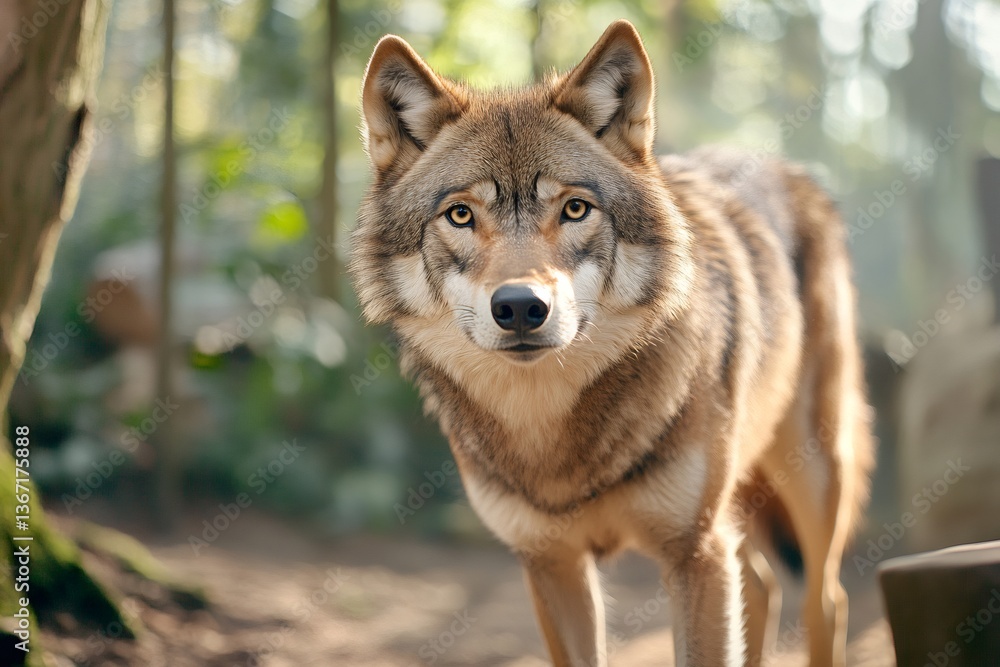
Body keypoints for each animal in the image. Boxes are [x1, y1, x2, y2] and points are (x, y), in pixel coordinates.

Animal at [350, 19, 875, 667]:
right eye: (461, 215)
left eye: (576, 209)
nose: (520, 307)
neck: (554, 440)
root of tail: (786, 167)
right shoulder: (553, 565)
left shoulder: (694, 552)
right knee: (763, 583)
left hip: (813, 473)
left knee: (826, 601)